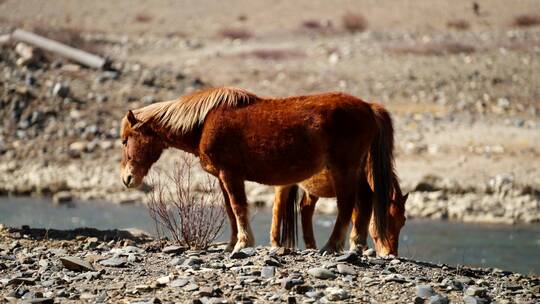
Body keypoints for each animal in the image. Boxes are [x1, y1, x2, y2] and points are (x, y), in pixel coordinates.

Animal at [121, 86, 396, 253]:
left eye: (124, 140)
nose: (127, 179)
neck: (204, 121)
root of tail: (368, 107)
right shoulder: (223, 177)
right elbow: (230, 210)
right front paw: (232, 243)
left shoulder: (231, 175)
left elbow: (238, 207)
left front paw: (243, 243)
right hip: (355, 170)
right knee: (365, 200)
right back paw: (356, 244)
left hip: (344, 168)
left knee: (347, 205)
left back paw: (332, 245)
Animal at [272, 170, 408, 255]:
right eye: (384, 222)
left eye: (403, 222)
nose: (390, 254)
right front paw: (360, 247)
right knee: (278, 206)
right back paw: (275, 244)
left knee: (306, 208)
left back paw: (312, 247)